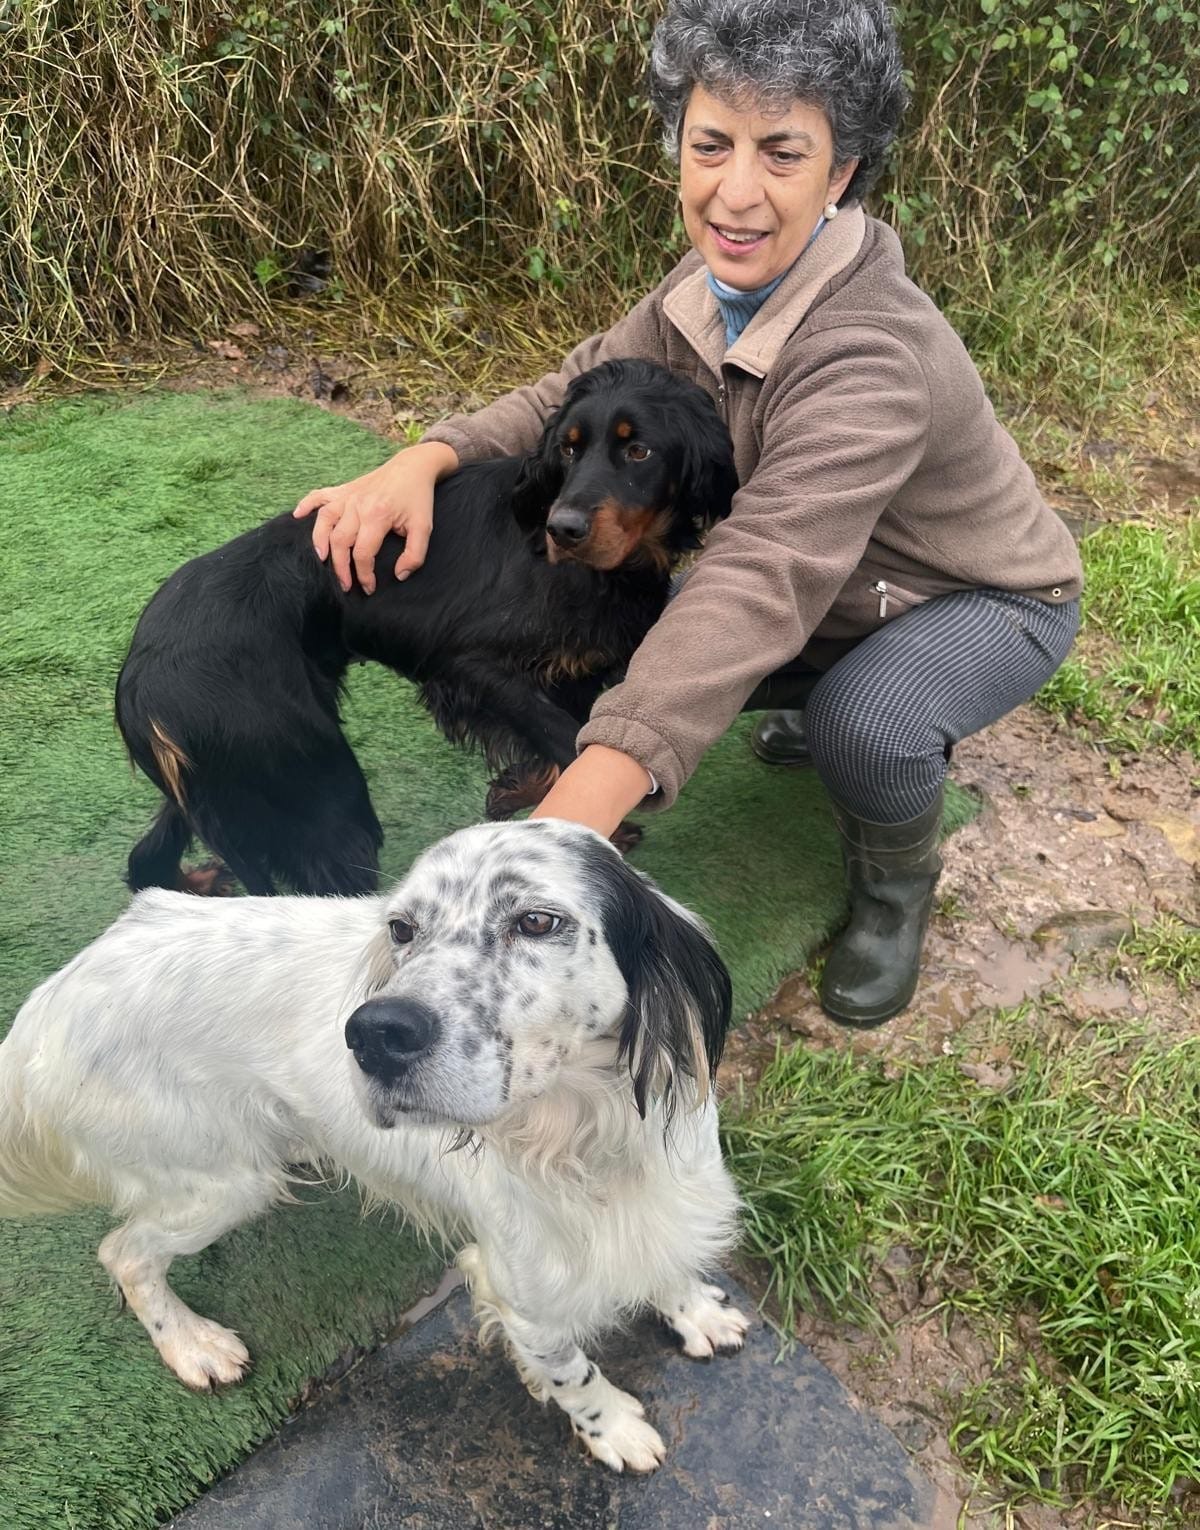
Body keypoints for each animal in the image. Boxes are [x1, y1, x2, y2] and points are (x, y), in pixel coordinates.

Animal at [0, 819, 748, 1471]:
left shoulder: (665, 1199)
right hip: (219, 1182)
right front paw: (613, 1427)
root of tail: (51, 997)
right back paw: (191, 1344)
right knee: (124, 1253)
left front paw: (694, 1310)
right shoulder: (524, 1296)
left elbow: (667, 1260)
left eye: (536, 921)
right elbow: (572, 1373)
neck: (587, 1142)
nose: (374, 1033)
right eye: (402, 929)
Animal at [115, 359, 737, 896]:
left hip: (230, 783)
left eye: (639, 450)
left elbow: (577, 742)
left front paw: (516, 794)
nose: (563, 529)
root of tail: (142, 687)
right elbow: (564, 738)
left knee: (147, 858)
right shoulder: (468, 665)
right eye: (569, 446)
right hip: (324, 796)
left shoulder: (573, 674)